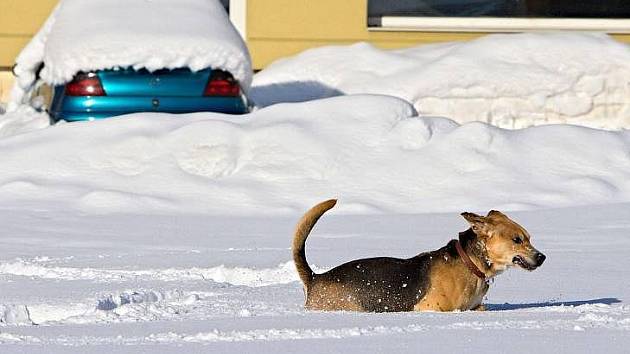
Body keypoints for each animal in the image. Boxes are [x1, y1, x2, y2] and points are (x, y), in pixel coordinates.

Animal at [294, 199, 544, 312]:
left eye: (528, 238)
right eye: (517, 240)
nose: (542, 257)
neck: (470, 263)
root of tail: (315, 278)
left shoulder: (475, 308)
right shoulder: (431, 308)